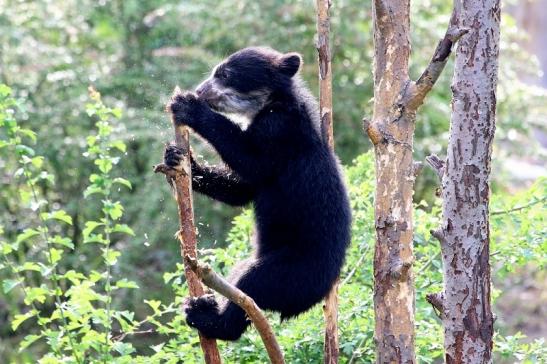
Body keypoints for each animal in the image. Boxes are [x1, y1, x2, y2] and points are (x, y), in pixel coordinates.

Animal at [164, 46, 352, 342]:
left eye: (225, 74)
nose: (201, 89)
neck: (271, 103)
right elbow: (241, 189)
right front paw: (177, 159)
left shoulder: (279, 132)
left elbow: (250, 160)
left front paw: (186, 105)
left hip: (292, 271)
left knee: (252, 286)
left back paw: (206, 317)